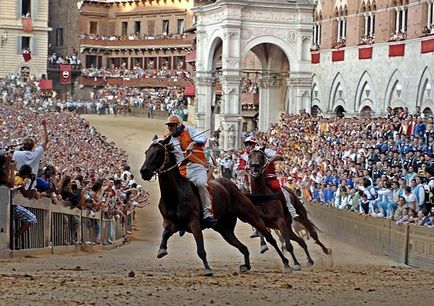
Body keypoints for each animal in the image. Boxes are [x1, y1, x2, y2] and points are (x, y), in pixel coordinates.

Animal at [140, 136, 292, 274]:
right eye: (146, 152)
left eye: (158, 153)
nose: (144, 171)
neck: (175, 194)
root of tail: (236, 188)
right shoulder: (170, 222)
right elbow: (165, 234)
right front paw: (162, 249)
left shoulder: (194, 223)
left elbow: (200, 249)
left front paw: (207, 269)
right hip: (224, 229)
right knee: (242, 247)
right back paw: (246, 265)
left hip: (250, 215)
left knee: (270, 238)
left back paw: (287, 263)